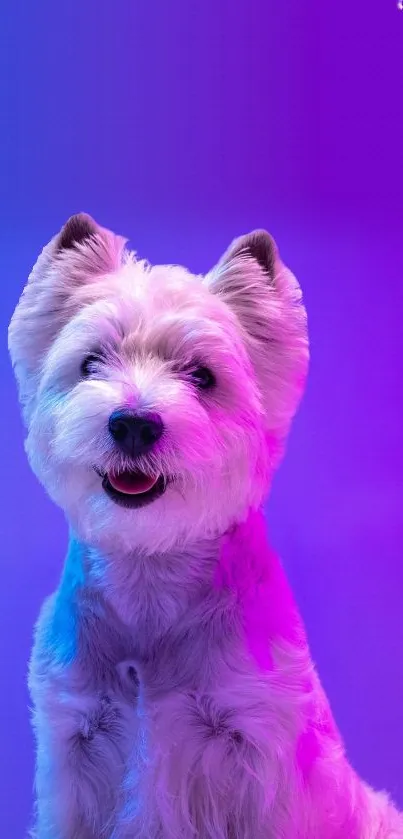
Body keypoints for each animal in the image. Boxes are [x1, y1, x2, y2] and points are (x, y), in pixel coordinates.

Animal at [8, 215, 403, 839]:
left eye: (202, 375)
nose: (134, 424)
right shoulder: (72, 745)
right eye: (91, 362)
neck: (149, 570)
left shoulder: (257, 749)